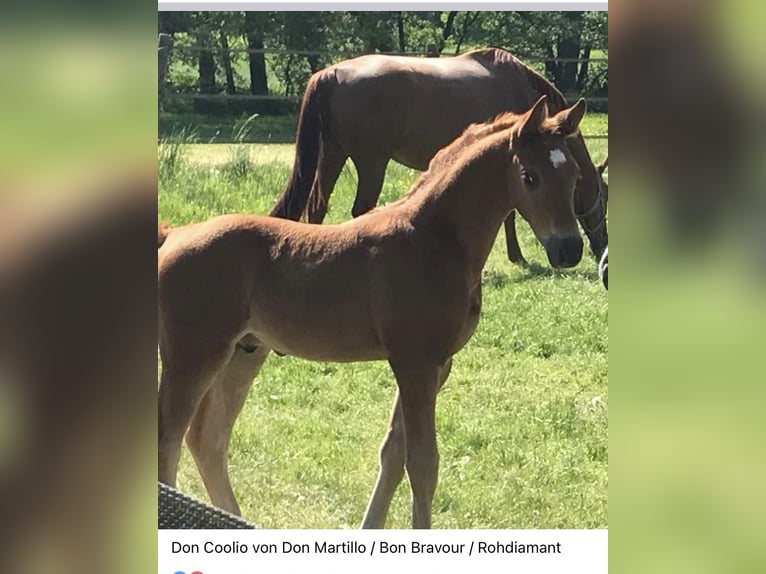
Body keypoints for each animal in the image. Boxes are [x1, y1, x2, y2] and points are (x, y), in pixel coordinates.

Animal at [159, 95, 584, 532]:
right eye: (530, 176)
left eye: (575, 174)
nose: (569, 250)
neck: (432, 240)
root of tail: (172, 235)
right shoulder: (415, 364)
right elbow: (423, 464)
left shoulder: (436, 366)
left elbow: (394, 455)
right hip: (193, 357)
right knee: (168, 441)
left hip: (243, 354)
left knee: (208, 439)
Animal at [272, 47, 608, 266]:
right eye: (603, 196)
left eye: (574, 178)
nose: (600, 246)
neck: (518, 85)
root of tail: (331, 73)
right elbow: (510, 213)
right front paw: (518, 256)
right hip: (371, 163)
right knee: (360, 210)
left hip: (332, 155)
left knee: (317, 208)